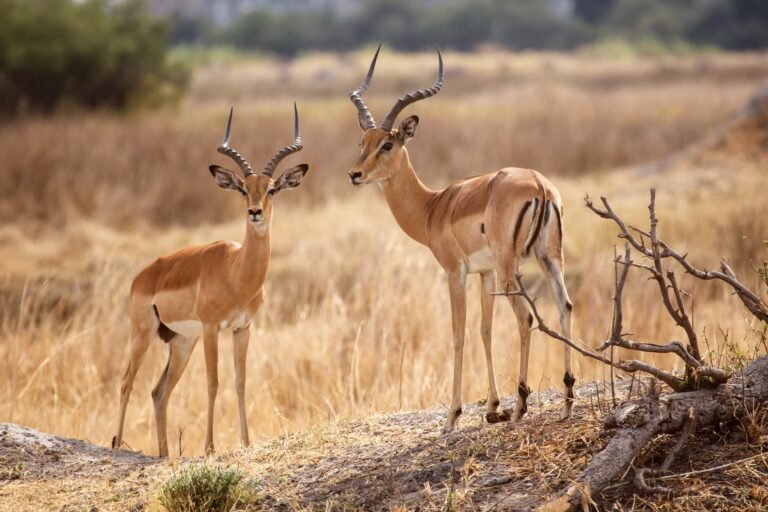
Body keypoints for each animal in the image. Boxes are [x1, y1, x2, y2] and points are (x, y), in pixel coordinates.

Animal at [113, 105, 309, 456]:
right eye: (243, 189)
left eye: (272, 188)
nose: (255, 212)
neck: (236, 272)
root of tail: (143, 276)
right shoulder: (211, 328)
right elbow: (213, 382)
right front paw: (209, 447)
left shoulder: (242, 329)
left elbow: (240, 382)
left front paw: (245, 441)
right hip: (144, 334)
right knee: (126, 382)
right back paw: (116, 445)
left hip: (180, 342)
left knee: (158, 392)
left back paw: (164, 454)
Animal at [347, 46, 574, 433]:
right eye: (363, 142)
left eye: (388, 143)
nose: (355, 174)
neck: (433, 206)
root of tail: (539, 185)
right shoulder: (484, 274)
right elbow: (485, 329)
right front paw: (492, 407)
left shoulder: (456, 271)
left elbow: (458, 333)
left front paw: (453, 416)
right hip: (549, 259)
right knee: (565, 307)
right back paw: (568, 398)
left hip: (510, 268)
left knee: (526, 318)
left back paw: (521, 405)